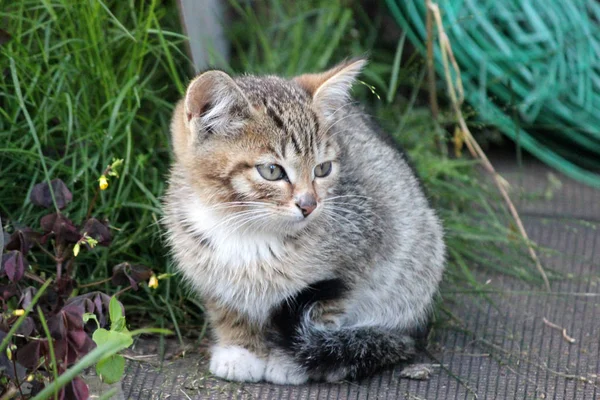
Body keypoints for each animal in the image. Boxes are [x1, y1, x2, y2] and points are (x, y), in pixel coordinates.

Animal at [163, 59, 446, 384]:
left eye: (323, 169)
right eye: (272, 171)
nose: (309, 204)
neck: (246, 232)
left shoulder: (358, 255)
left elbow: (325, 309)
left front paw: (289, 362)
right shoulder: (209, 274)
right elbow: (228, 310)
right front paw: (240, 351)